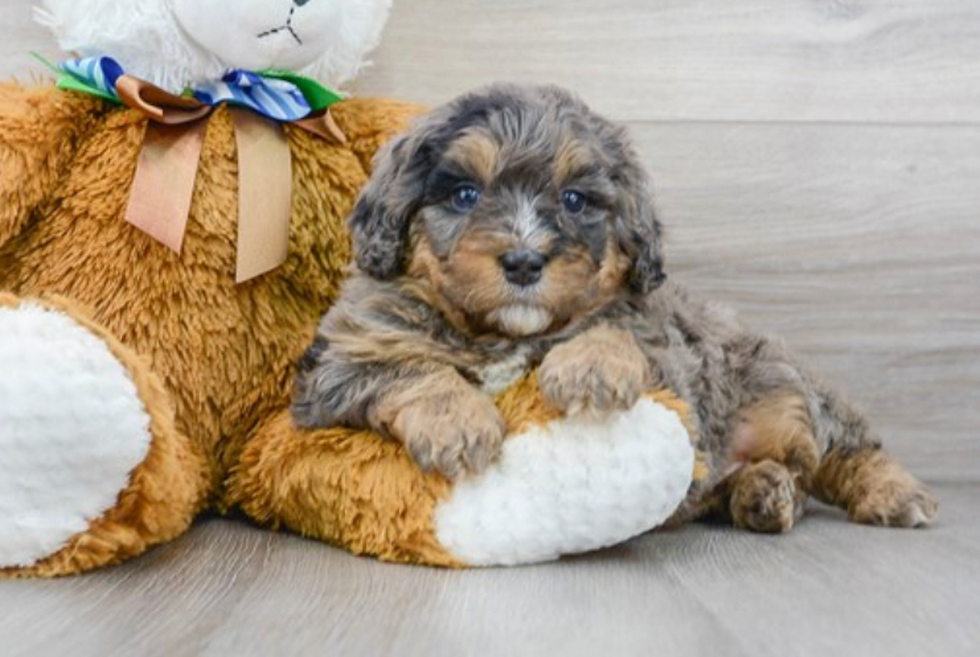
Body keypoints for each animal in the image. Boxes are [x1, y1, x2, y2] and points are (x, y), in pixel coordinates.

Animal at [290, 82, 936, 532]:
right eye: (465, 194)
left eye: (575, 200)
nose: (524, 262)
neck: (503, 334)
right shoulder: (339, 367)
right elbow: (409, 369)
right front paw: (460, 422)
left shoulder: (666, 351)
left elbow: (616, 330)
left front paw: (589, 366)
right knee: (784, 478)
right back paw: (763, 494)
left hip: (784, 382)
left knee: (845, 448)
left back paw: (892, 492)